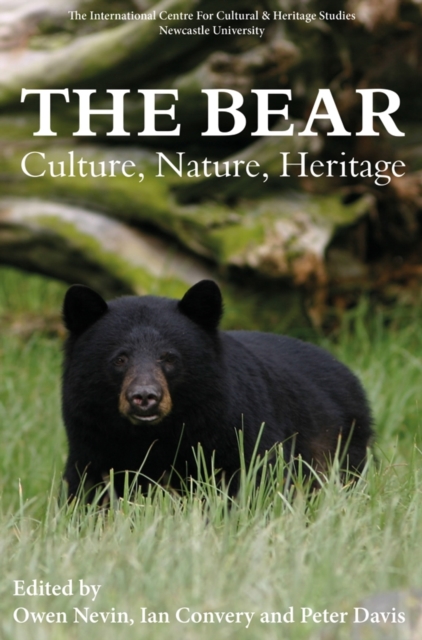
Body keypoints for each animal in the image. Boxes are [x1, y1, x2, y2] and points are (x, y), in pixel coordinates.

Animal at [61, 279, 373, 500]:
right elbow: (90, 490)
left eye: (169, 358)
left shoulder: (235, 429)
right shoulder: (93, 440)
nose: (145, 397)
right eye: (120, 359)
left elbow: (256, 478)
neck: (155, 434)